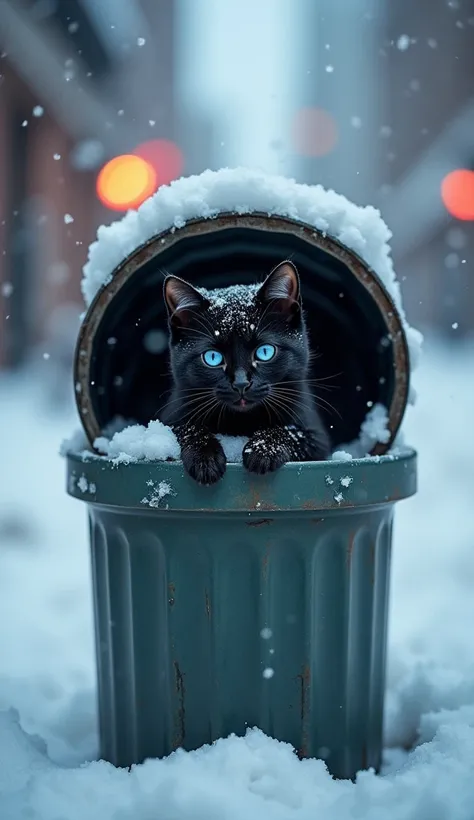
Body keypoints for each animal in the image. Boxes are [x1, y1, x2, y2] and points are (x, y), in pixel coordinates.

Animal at [159, 260, 330, 484]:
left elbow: (294, 433)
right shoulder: (166, 421)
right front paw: (205, 458)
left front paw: (263, 450)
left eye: (265, 352)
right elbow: (185, 428)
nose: (241, 383)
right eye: (212, 357)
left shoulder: (317, 436)